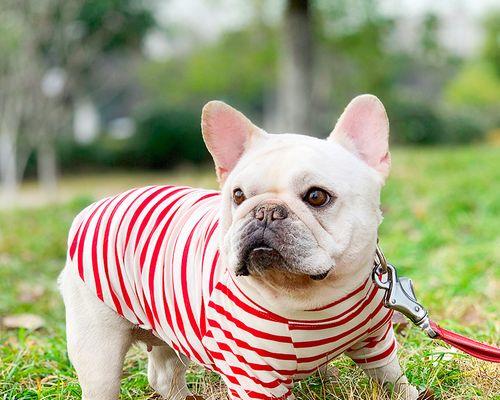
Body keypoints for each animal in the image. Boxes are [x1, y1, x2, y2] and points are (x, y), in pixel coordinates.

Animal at [59, 95, 422, 398]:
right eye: (238, 195)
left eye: (317, 196)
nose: (266, 211)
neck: (312, 300)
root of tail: (94, 208)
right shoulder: (254, 376)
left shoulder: (376, 341)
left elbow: (391, 377)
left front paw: (410, 394)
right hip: (98, 347)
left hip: (167, 326)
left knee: (164, 374)